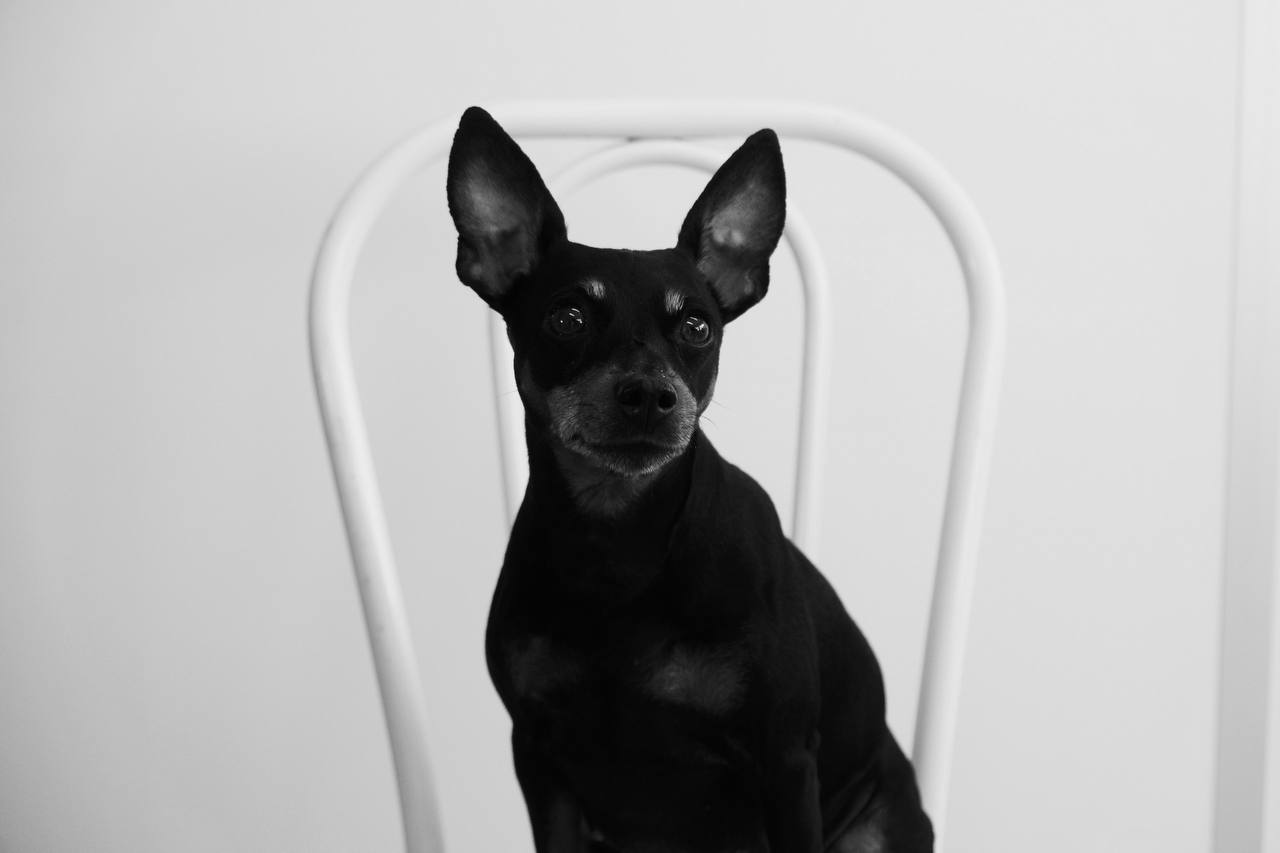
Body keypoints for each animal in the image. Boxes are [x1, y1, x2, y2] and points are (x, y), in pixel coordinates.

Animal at [448, 106, 931, 850]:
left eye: (698, 326)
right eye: (567, 317)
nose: (649, 394)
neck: (617, 540)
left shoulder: (786, 760)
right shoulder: (537, 751)